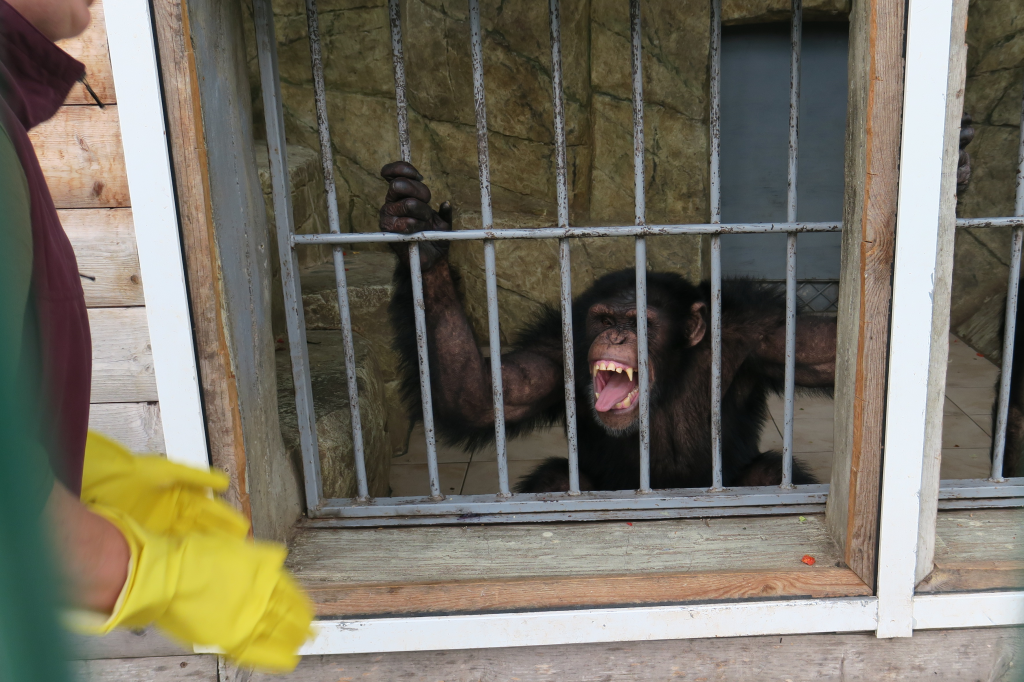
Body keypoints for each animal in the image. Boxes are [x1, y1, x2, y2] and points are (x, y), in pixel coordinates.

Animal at [380, 160, 835, 489]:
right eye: (603, 319)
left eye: (638, 321)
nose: (616, 335)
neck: (671, 375)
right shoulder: (556, 350)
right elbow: (478, 395)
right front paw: (423, 237)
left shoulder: (757, 333)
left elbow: (820, 353)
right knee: (555, 478)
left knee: (769, 473)